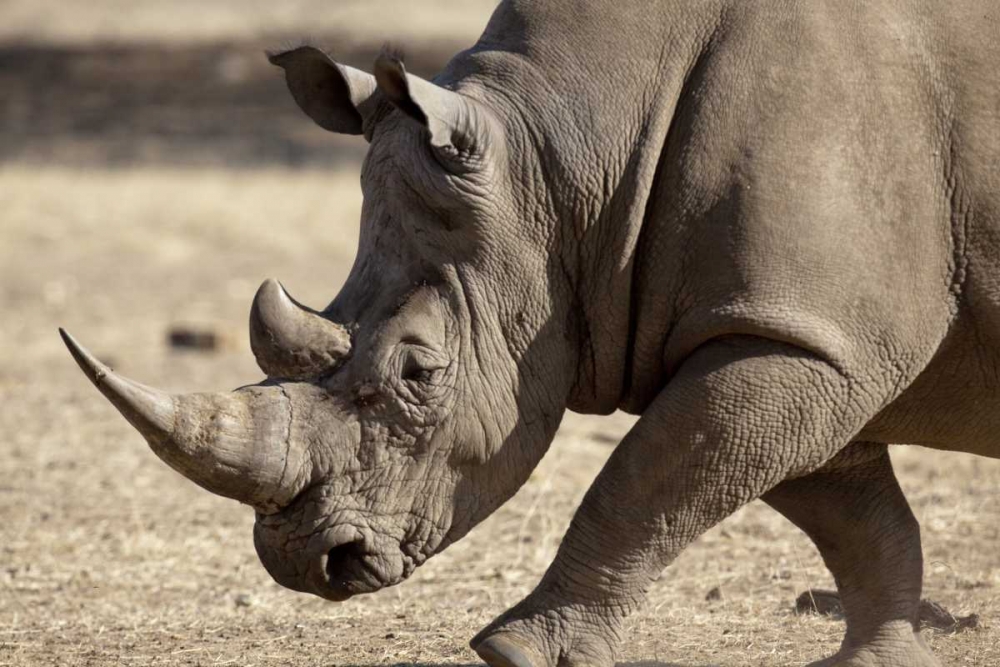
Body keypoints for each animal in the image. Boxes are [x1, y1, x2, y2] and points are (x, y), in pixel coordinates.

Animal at [61, 1, 999, 665]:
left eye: (418, 372)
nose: (309, 561)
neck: (562, 150)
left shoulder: (799, 334)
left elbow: (645, 481)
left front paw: (512, 650)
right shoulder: (808, 333)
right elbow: (853, 510)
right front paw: (876, 659)